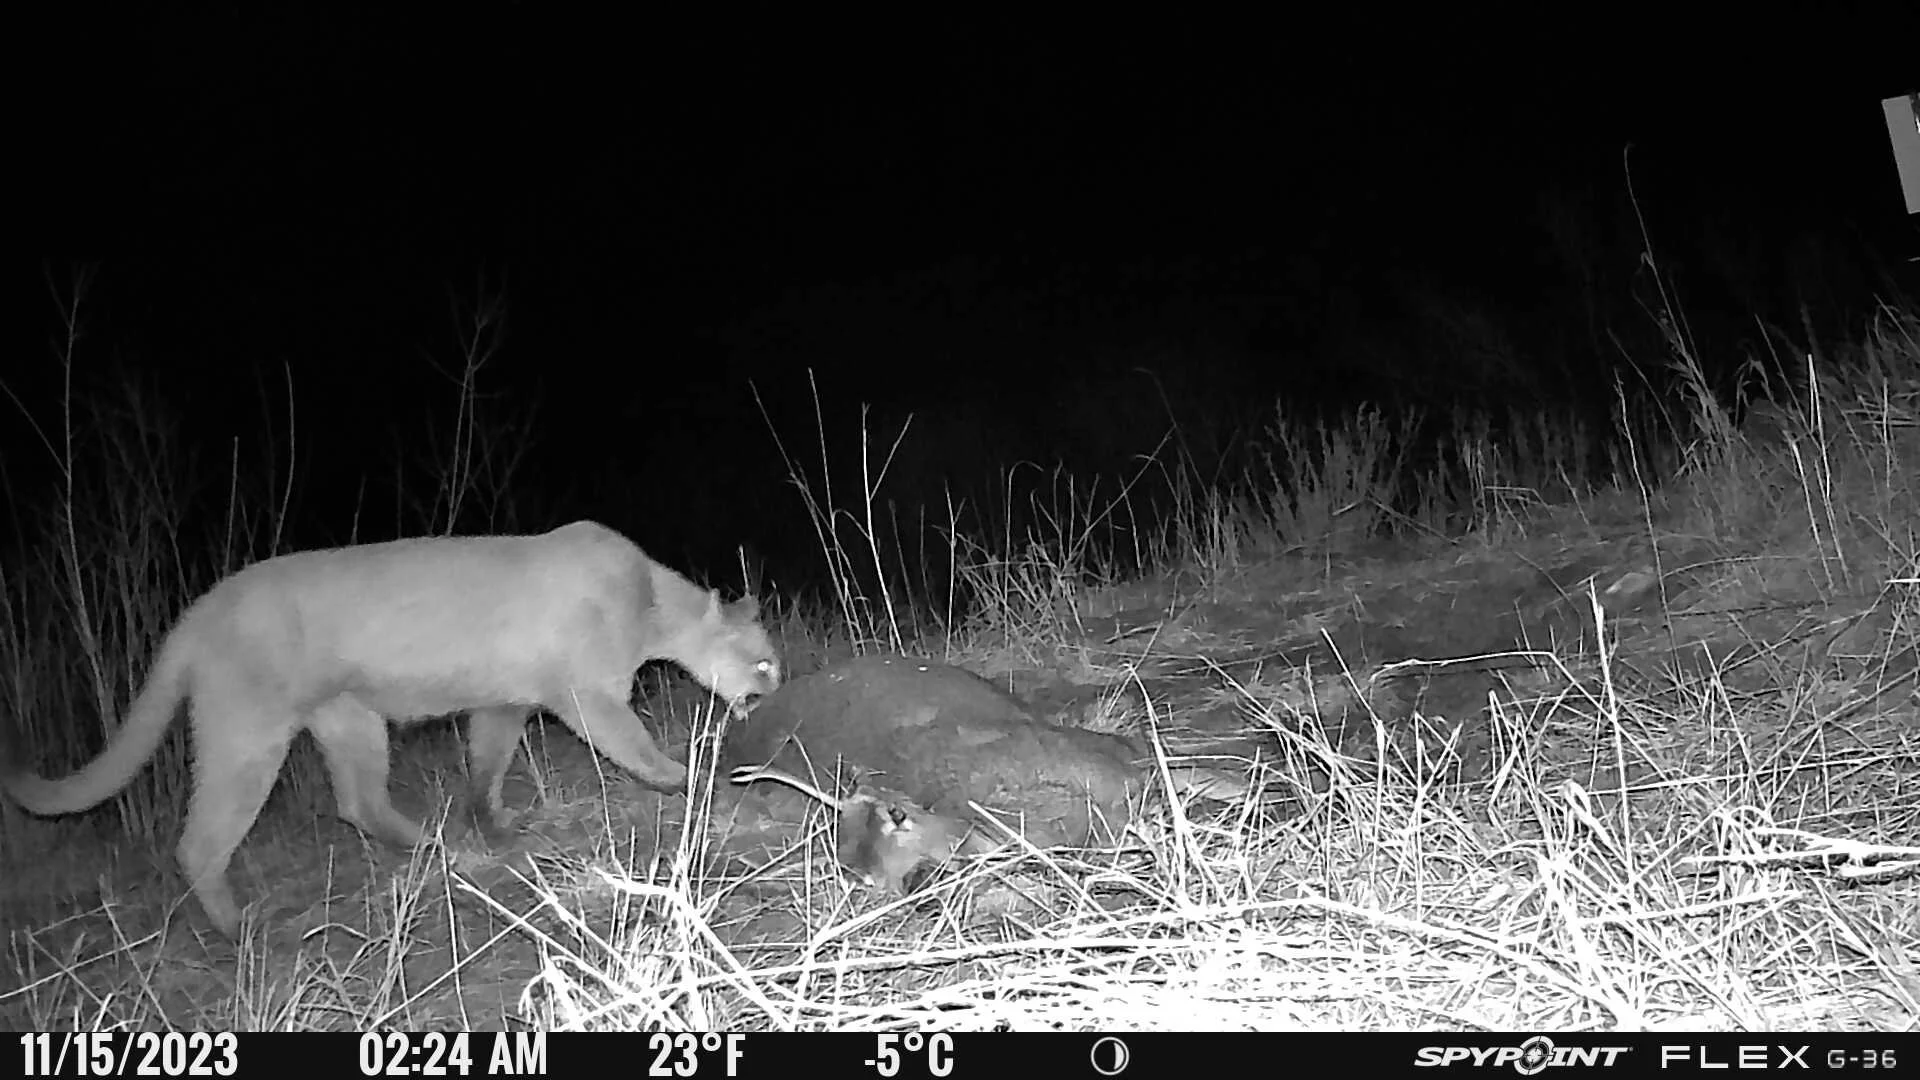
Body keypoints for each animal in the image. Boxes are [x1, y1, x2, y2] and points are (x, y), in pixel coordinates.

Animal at [0, 520, 782, 938]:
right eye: (765, 660)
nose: (775, 688)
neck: (651, 600)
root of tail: (194, 611)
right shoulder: (586, 696)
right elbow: (636, 747)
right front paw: (693, 781)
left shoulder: (504, 702)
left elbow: (486, 767)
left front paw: (494, 825)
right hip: (247, 733)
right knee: (201, 839)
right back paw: (242, 930)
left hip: (352, 721)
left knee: (359, 800)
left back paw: (439, 847)